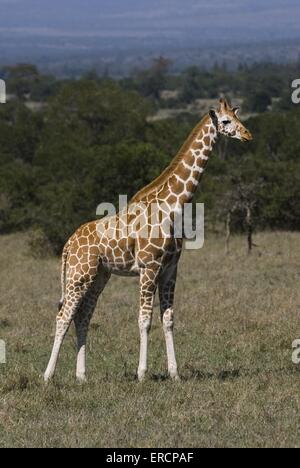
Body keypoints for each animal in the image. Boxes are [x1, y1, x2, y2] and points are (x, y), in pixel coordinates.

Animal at [44, 97, 251, 382]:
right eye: (226, 121)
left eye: (237, 117)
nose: (248, 135)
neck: (173, 206)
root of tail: (67, 245)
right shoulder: (148, 267)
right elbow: (144, 320)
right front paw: (142, 373)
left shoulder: (170, 270)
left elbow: (168, 318)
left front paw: (174, 373)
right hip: (78, 275)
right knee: (63, 316)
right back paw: (47, 376)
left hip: (98, 277)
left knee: (83, 317)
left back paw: (81, 376)